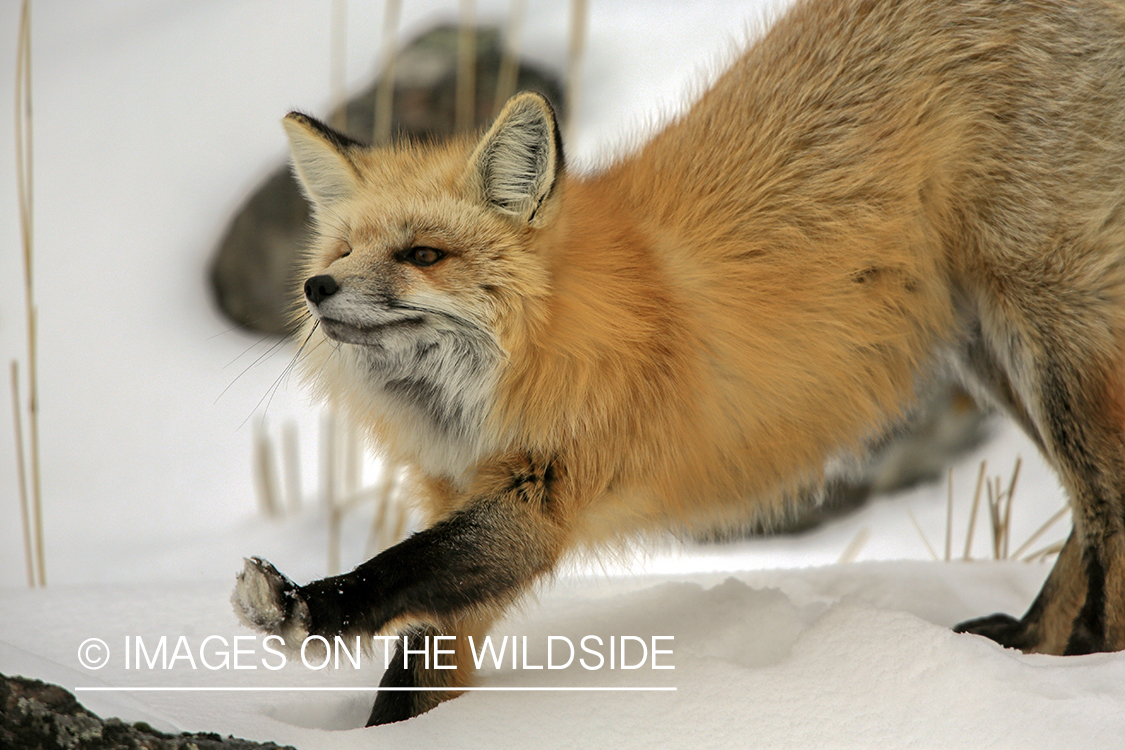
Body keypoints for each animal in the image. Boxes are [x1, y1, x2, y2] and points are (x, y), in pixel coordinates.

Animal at [233, 0, 1125, 726]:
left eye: (423, 254)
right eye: (342, 251)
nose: (316, 288)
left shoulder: (544, 494)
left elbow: (403, 569)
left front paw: (301, 607)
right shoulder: (464, 493)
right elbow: (420, 665)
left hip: (1050, 346)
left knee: (1106, 514)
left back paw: (1091, 666)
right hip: (991, 356)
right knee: (1081, 524)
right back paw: (1032, 644)